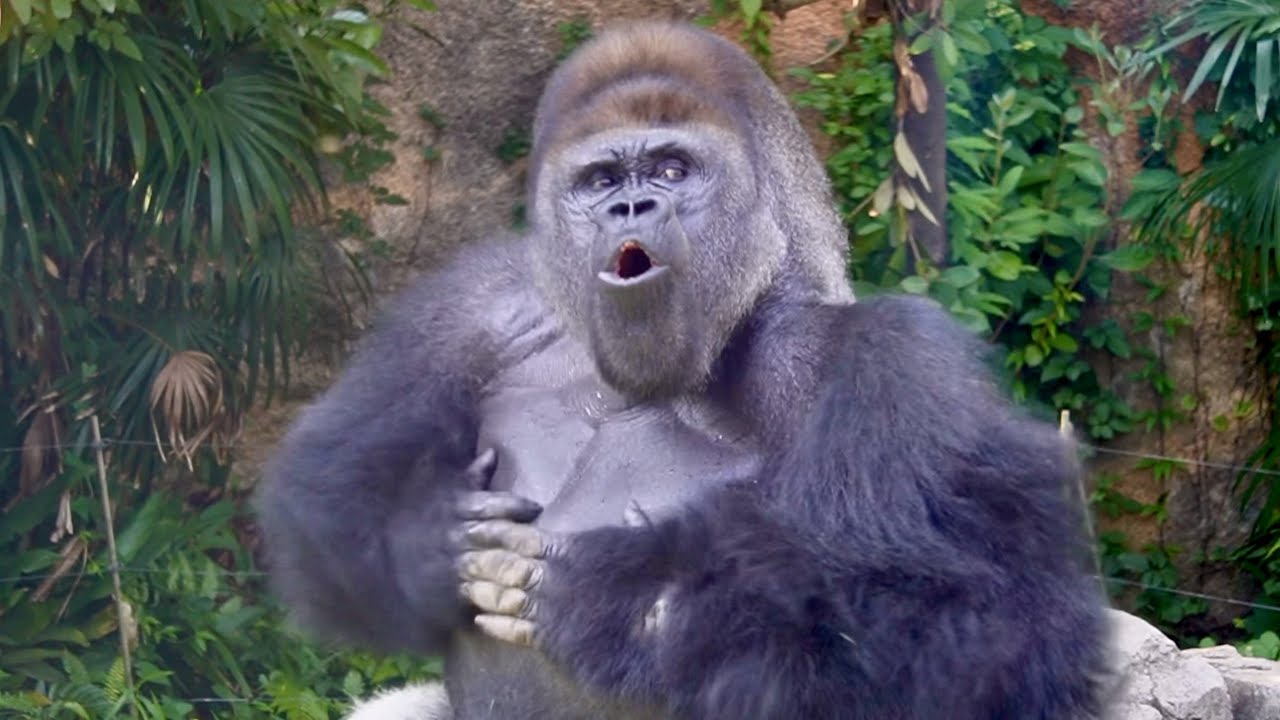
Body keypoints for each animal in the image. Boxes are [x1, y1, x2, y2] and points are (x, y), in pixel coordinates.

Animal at [256, 20, 1110, 720]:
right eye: (602, 181)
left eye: (672, 170)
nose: (629, 210)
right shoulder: (476, 298)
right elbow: (330, 489)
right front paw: (429, 534)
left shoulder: (894, 362)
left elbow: (982, 627)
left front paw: (623, 609)